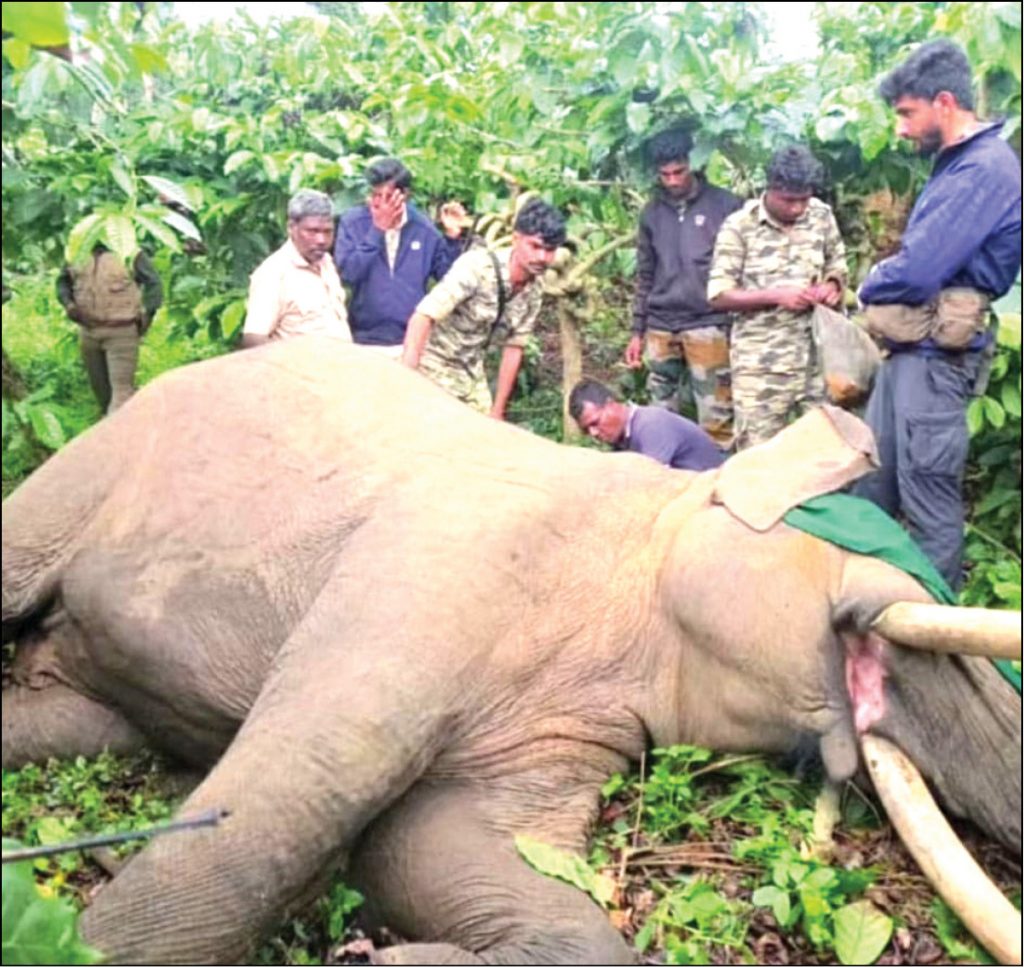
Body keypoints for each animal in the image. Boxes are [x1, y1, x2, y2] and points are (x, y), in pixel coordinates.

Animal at [2, 337, 1020, 965]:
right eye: (914, 625)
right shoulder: (446, 557)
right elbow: (289, 799)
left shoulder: (567, 719)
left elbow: (425, 846)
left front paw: (379, 952)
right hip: (94, 462)